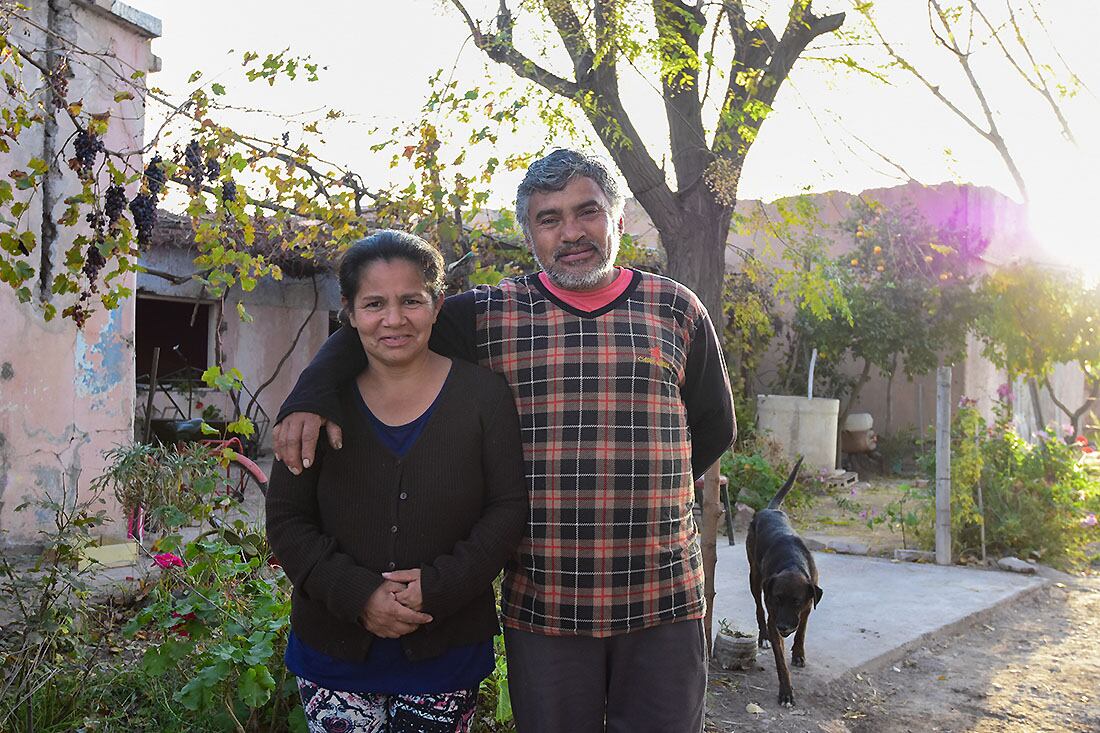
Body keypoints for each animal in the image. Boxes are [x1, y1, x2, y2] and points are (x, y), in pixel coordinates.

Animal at [743, 457, 822, 704]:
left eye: (796, 601)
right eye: (778, 599)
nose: (784, 627)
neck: (791, 564)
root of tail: (770, 510)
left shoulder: (808, 604)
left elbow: (803, 630)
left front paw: (798, 654)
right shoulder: (773, 615)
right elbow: (780, 662)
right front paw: (786, 691)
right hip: (754, 577)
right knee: (758, 608)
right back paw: (763, 637)